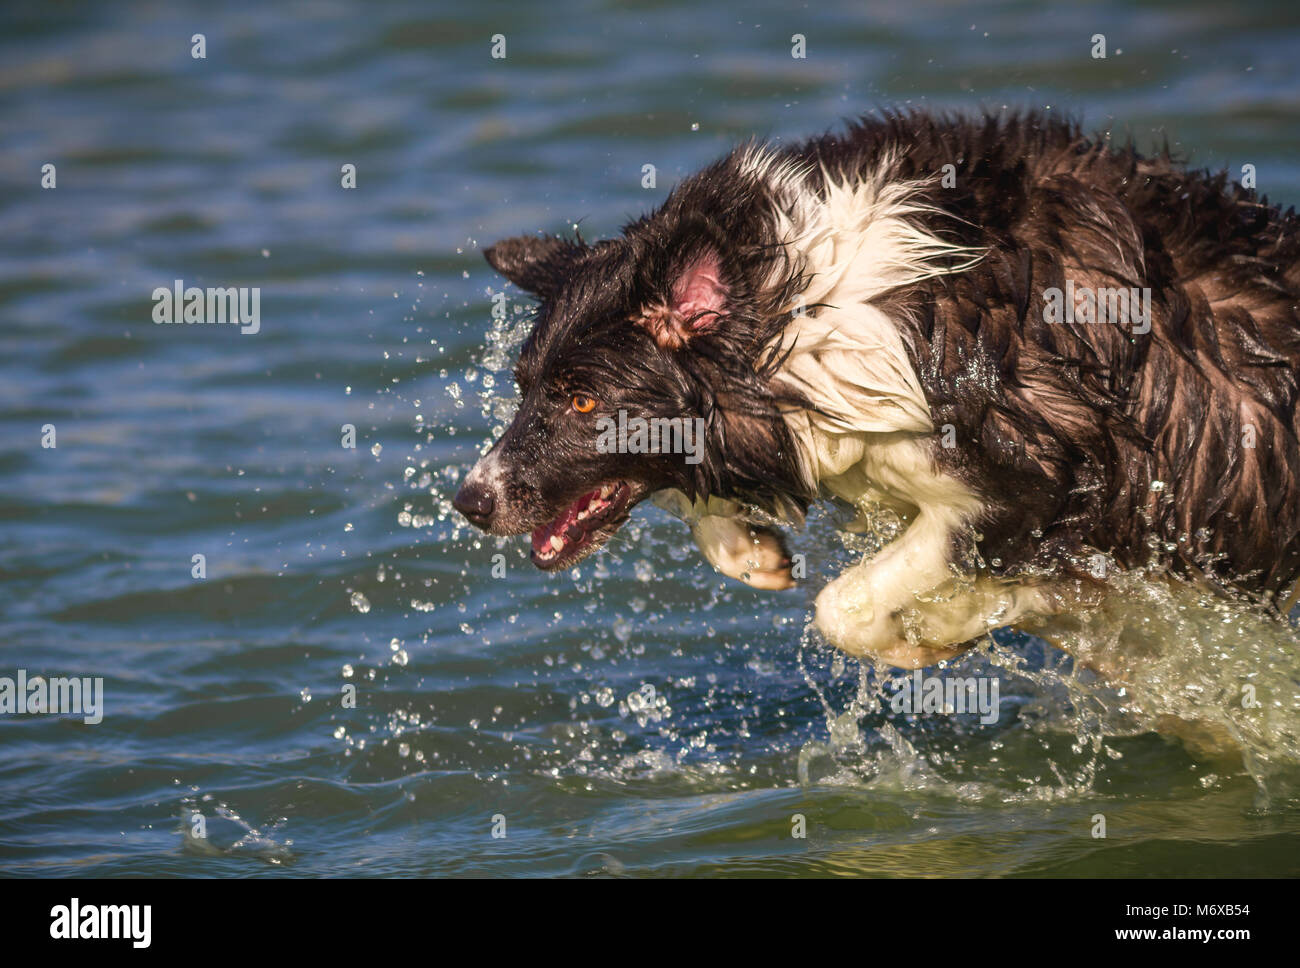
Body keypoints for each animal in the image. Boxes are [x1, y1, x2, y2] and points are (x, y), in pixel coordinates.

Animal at [449, 111, 1300, 670]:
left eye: (582, 401)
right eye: (525, 387)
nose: (470, 501)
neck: (813, 307)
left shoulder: (1039, 473)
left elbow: (849, 602)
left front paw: (938, 631)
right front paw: (746, 546)